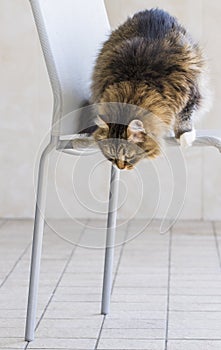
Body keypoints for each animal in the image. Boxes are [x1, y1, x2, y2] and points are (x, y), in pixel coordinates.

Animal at [89, 8, 207, 170]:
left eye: (129, 156)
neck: (137, 84)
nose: (120, 167)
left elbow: (185, 115)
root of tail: (156, 10)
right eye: (111, 155)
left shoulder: (190, 90)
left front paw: (184, 136)